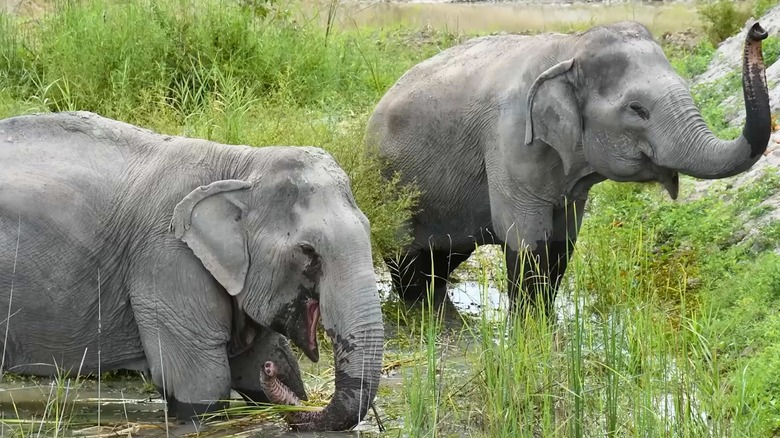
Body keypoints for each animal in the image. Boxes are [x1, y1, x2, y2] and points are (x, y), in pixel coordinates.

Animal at [0, 111, 384, 432]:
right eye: (308, 252)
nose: (271, 372)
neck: (241, 165)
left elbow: (252, 362)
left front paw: (267, 367)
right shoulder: (167, 257)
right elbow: (202, 382)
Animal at [365, 21, 771, 315]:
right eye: (637, 109)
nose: (759, 29)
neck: (570, 48)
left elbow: (562, 245)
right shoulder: (509, 139)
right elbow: (526, 243)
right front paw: (530, 331)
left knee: (441, 260)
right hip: (389, 185)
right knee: (407, 263)